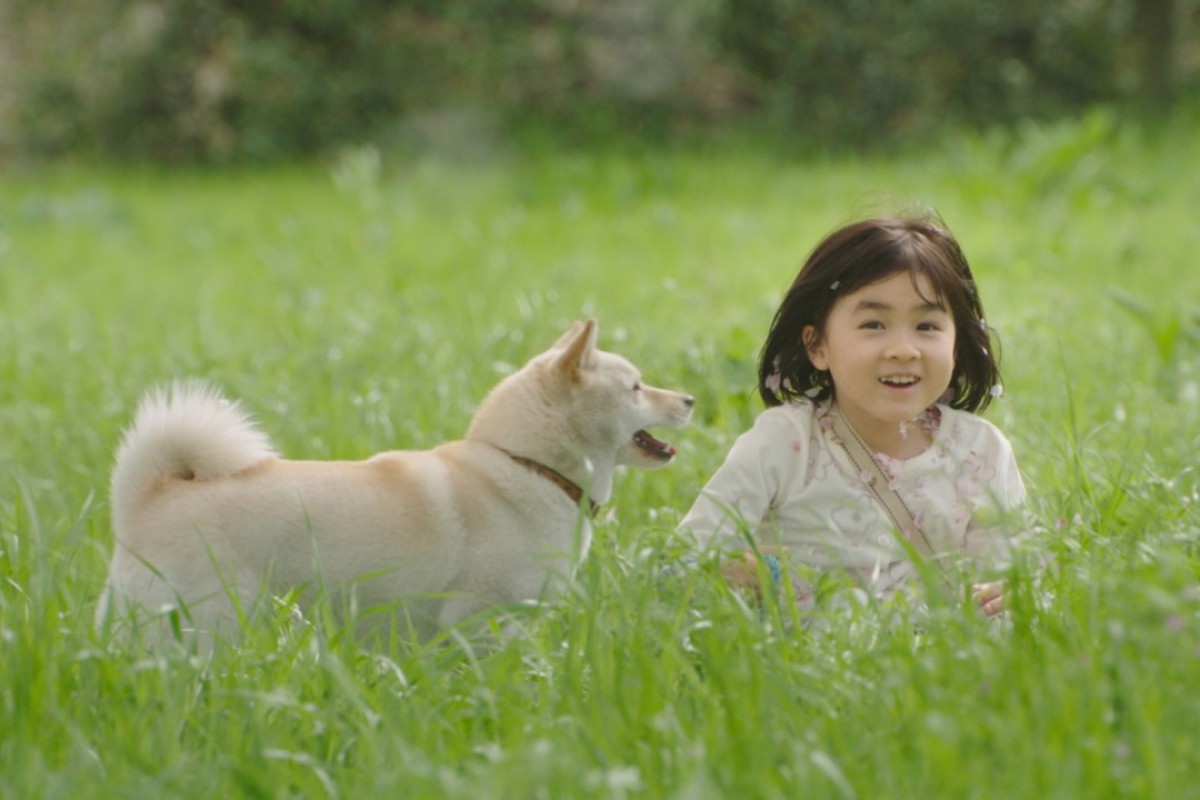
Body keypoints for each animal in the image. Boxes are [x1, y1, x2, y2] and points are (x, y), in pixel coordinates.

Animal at [98, 319, 700, 642]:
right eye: (637, 387)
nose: (691, 399)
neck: (525, 464)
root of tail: (147, 498)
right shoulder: (480, 624)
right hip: (207, 628)